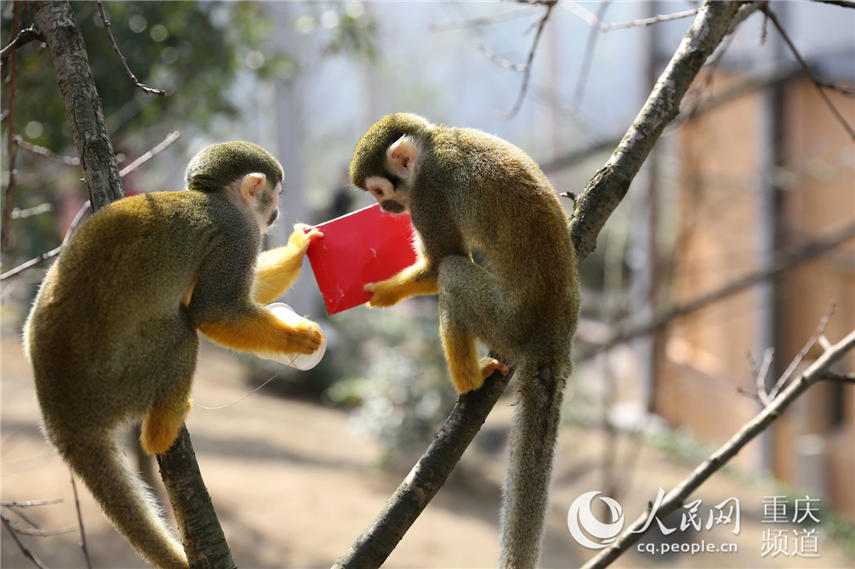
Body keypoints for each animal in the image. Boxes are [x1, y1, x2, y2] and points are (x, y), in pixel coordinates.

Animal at [23, 140, 326, 564]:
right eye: (276, 193)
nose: (276, 212)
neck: (214, 198)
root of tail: (60, 413)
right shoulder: (237, 235)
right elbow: (212, 310)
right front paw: (299, 339)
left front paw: (298, 247)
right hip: (118, 383)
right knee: (184, 334)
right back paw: (160, 432)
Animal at [350, 114, 580, 568]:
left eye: (381, 192)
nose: (386, 209)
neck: (433, 141)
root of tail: (553, 336)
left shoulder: (429, 194)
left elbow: (440, 263)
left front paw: (384, 292)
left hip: (506, 321)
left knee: (454, 275)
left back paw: (470, 381)